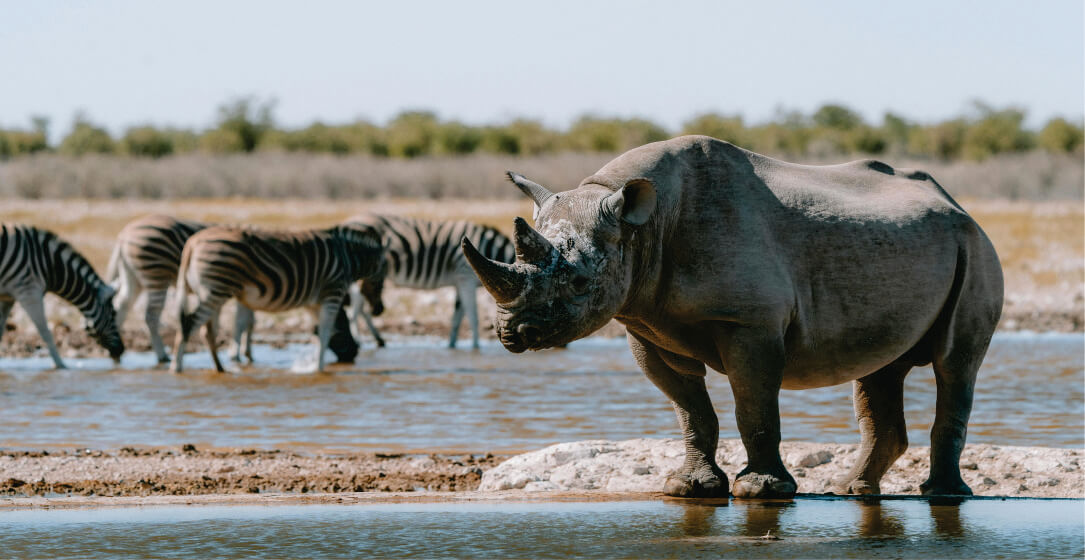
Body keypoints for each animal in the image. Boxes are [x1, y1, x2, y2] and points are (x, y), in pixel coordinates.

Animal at [0, 223, 124, 368]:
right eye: (113, 314)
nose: (121, 350)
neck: (49, 265)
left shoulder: (8, 298)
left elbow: (0, 331)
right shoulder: (29, 293)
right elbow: (46, 333)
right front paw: (60, 365)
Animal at [107, 215, 365, 364]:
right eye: (342, 325)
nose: (353, 353)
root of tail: (123, 235)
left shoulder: (249, 292)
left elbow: (249, 321)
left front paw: (246, 353)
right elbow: (243, 322)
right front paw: (238, 354)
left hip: (134, 277)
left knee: (121, 305)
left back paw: (115, 348)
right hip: (156, 275)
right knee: (151, 315)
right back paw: (161, 355)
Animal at [170, 223, 386, 373]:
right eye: (381, 280)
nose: (353, 354)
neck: (348, 257)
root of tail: (192, 243)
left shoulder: (314, 301)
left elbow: (319, 331)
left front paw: (315, 364)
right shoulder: (333, 290)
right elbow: (326, 331)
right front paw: (319, 368)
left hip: (213, 293)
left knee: (207, 331)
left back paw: (220, 368)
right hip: (215, 290)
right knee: (188, 325)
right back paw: (176, 368)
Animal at [344, 214, 515, 349]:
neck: (489, 252)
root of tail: (351, 220)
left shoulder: (460, 282)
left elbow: (457, 318)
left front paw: (452, 346)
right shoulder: (466, 277)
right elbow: (473, 317)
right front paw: (476, 348)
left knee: (361, 308)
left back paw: (379, 340)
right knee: (356, 309)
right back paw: (359, 341)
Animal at [462, 135, 1003, 498]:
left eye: (578, 283)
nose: (513, 333)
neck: (642, 227)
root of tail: (957, 203)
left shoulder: (750, 323)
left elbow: (754, 405)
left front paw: (760, 492)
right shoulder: (646, 324)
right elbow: (690, 409)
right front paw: (689, 488)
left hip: (975, 247)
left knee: (954, 364)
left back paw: (941, 496)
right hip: (916, 246)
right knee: (879, 371)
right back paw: (851, 490)